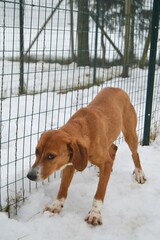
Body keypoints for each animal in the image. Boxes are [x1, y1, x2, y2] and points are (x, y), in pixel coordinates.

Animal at [27, 87, 146, 225]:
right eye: (36, 151)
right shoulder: (71, 164)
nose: (30, 176)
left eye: (51, 156)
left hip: (130, 135)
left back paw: (139, 174)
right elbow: (63, 188)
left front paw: (95, 213)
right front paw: (55, 205)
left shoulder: (103, 162)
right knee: (114, 148)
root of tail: (118, 89)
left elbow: (99, 193)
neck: (84, 129)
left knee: (134, 153)